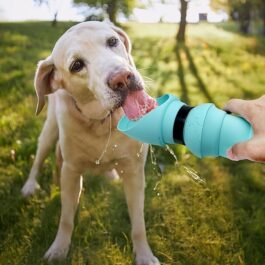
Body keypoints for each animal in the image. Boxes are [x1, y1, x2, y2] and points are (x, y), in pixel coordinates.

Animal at [21, 21, 158, 264]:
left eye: (112, 41)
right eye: (77, 65)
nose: (122, 78)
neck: (102, 122)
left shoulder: (134, 172)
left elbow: (138, 223)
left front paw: (144, 254)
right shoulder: (70, 172)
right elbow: (66, 218)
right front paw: (59, 249)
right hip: (49, 131)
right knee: (38, 161)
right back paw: (29, 186)